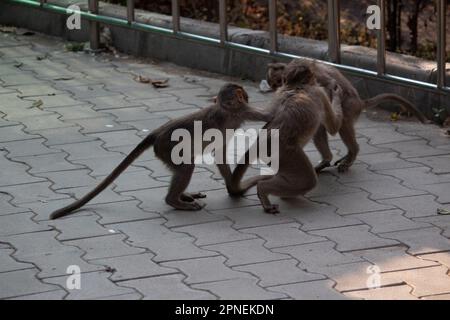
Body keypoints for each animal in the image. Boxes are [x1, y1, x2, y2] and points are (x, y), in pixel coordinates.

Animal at [51, 83, 272, 220]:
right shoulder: (243, 111)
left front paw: (232, 186)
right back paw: (174, 201)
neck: (227, 108)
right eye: (243, 94)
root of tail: (157, 132)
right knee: (186, 167)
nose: (247, 95)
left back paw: (182, 196)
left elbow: (220, 153)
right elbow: (269, 115)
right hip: (166, 148)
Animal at [230, 62, 342, 215]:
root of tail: (260, 142)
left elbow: (268, 114)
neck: (296, 86)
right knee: (307, 180)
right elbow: (333, 127)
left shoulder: (280, 92)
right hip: (283, 153)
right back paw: (263, 189)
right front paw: (336, 92)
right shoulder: (319, 93)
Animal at [266, 59, 428, 172]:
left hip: (351, 107)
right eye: (274, 84)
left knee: (342, 124)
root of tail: (360, 102)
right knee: (320, 127)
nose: (279, 88)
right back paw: (330, 159)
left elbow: (330, 84)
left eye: (279, 81)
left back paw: (352, 152)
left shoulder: (315, 77)